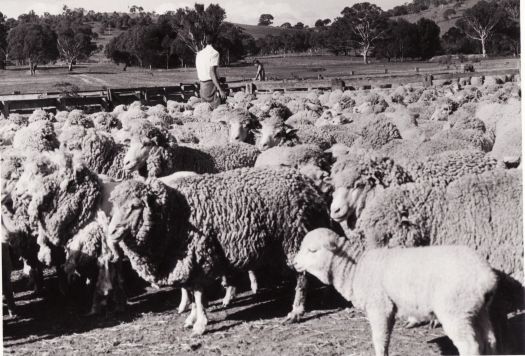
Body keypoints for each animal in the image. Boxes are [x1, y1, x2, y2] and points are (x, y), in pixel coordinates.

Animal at [106, 167, 332, 334]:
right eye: (114, 206)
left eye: (135, 206)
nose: (112, 232)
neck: (174, 213)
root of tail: (308, 185)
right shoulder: (187, 260)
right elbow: (191, 292)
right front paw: (192, 318)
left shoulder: (198, 255)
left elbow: (198, 294)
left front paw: (199, 325)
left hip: (294, 240)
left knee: (302, 277)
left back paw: (296, 312)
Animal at [292, 228, 498, 356]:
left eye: (312, 250)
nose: (294, 263)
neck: (356, 268)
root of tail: (486, 276)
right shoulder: (389, 309)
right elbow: (386, 339)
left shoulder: (379, 307)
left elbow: (379, 340)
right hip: (477, 310)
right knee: (489, 340)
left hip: (455, 310)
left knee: (470, 346)